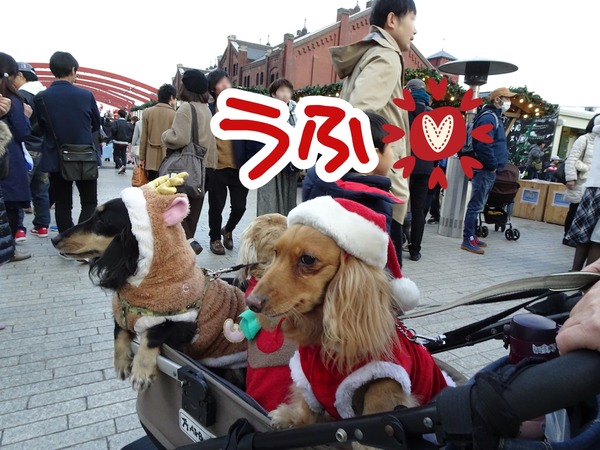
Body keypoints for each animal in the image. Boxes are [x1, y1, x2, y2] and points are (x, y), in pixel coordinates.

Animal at [52, 174, 248, 391]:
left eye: (102, 220)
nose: (55, 239)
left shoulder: (185, 322)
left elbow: (153, 333)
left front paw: (141, 372)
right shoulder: (123, 313)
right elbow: (119, 330)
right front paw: (121, 362)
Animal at [246, 197, 449, 440]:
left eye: (307, 259)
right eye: (275, 252)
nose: (251, 303)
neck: (322, 344)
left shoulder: (387, 382)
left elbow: (376, 406)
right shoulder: (307, 380)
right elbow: (307, 409)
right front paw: (291, 420)